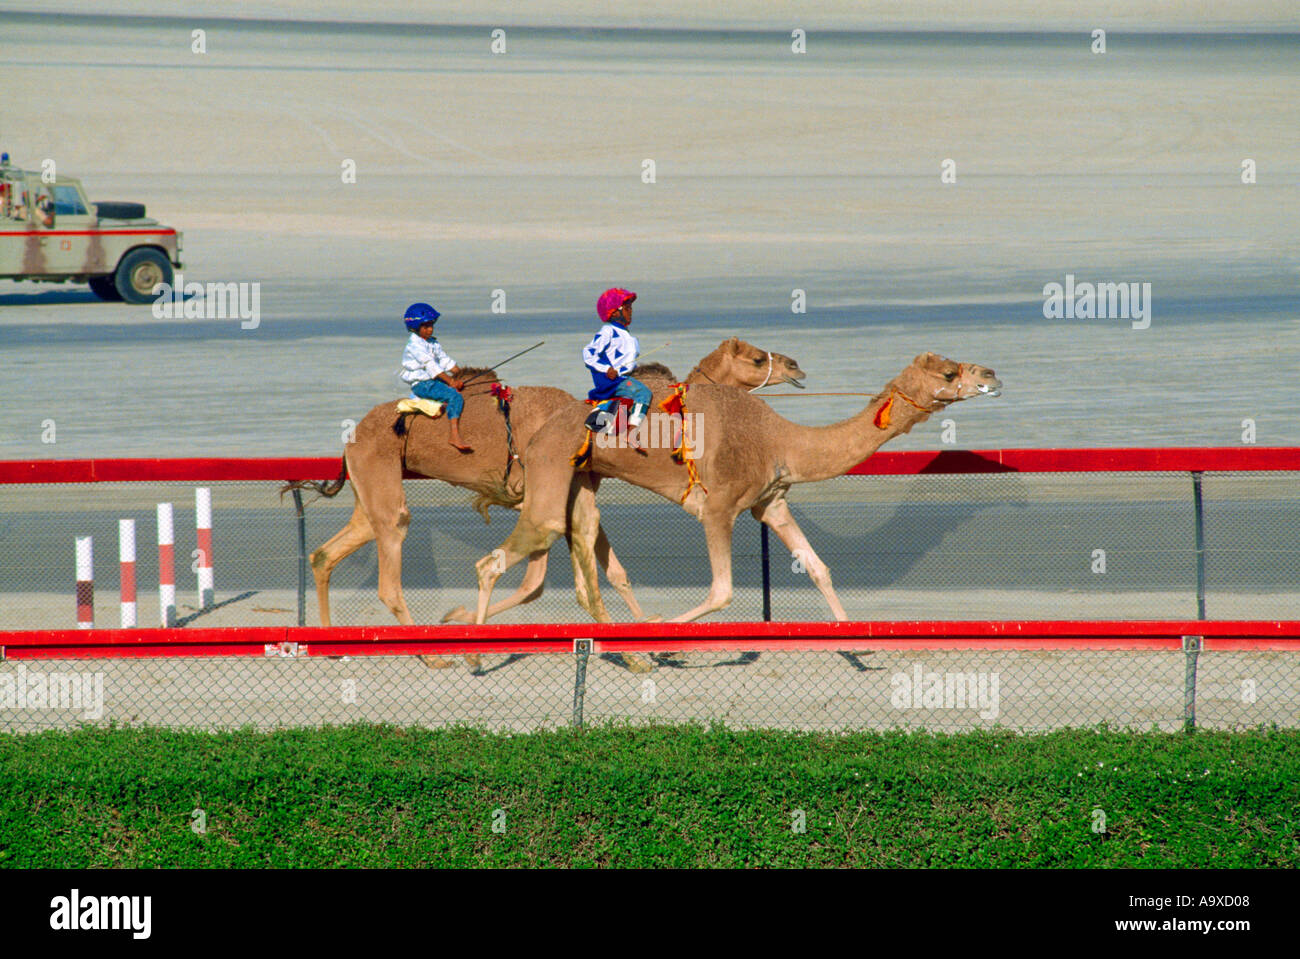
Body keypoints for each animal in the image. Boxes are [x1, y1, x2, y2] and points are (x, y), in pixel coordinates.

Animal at [289, 337, 806, 665]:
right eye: (756, 358)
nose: (796, 366)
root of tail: (351, 438)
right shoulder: (554, 495)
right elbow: (560, 579)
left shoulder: (561, 495)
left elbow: (597, 574)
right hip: (381, 475)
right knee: (390, 565)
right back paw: (431, 656)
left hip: (371, 485)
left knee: (327, 553)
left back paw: (333, 645)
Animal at [473, 350, 998, 634]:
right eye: (949, 374)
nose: (991, 375)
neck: (780, 440)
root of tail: (536, 433)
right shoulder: (719, 507)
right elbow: (722, 591)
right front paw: (661, 635)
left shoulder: (771, 502)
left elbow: (819, 569)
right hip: (550, 466)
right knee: (505, 552)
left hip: (579, 478)